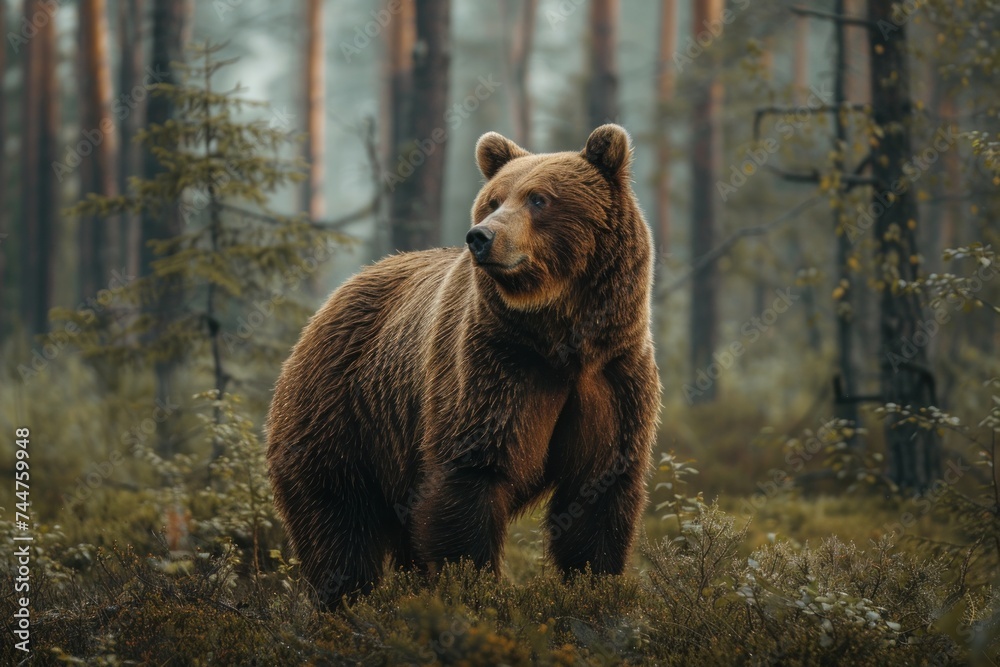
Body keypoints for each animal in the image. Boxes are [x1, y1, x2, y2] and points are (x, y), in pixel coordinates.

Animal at [266, 124, 660, 608]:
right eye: (493, 199)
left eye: (539, 198)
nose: (481, 236)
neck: (561, 337)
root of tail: (328, 304)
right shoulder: (492, 367)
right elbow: (471, 473)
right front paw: (474, 588)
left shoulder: (613, 376)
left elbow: (600, 491)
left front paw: (594, 587)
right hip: (341, 413)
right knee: (337, 522)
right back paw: (344, 599)